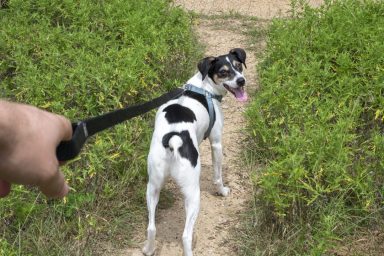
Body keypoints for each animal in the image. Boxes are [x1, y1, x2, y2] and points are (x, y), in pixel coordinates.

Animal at [142, 48, 248, 256]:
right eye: (224, 72)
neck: (204, 86)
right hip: (193, 193)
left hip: (153, 186)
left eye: (238, 66)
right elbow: (217, 176)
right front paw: (222, 191)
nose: (241, 81)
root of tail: (174, 138)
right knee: (185, 236)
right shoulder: (216, 143)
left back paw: (149, 249)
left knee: (151, 228)